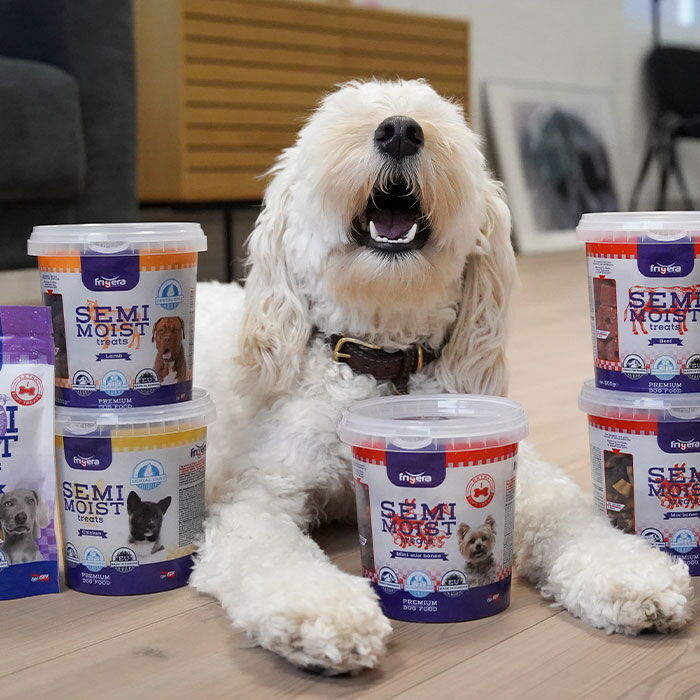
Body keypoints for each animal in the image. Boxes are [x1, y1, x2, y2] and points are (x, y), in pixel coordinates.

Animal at [190, 80, 692, 675]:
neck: (383, 364)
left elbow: (565, 512)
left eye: (435, 122)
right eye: (342, 123)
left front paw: (629, 571)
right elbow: (273, 553)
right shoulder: (261, 491)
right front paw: (324, 613)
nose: (400, 130)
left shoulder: (507, 454)